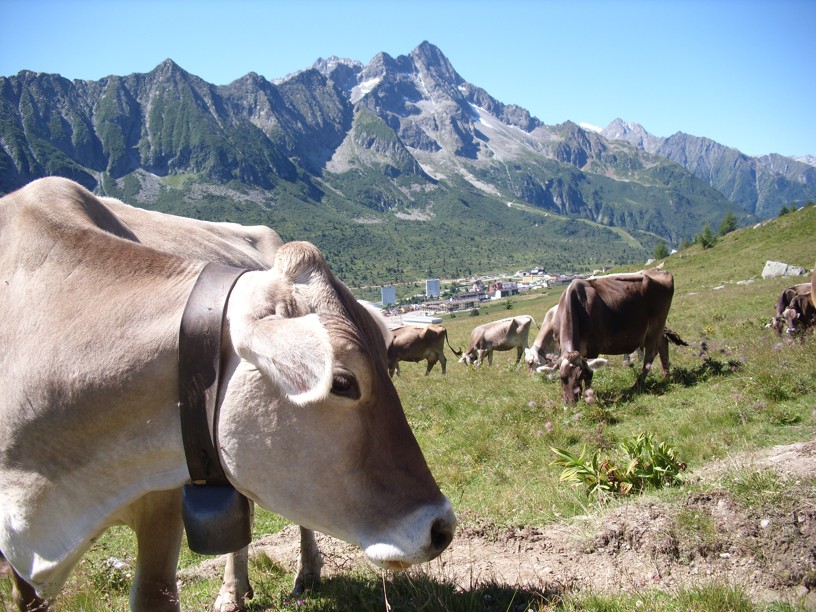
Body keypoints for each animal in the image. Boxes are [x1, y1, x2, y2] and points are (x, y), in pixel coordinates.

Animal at [0, 175, 452, 608]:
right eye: (342, 382)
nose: (442, 526)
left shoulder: (164, 498)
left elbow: (152, 593)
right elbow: (24, 597)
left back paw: (295, 575)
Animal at [540, 270, 680, 404]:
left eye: (579, 376)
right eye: (562, 377)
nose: (570, 405)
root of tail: (659, 271)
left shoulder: (594, 347)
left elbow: (589, 373)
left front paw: (589, 397)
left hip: (655, 327)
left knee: (650, 355)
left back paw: (636, 385)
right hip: (657, 330)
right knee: (663, 343)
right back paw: (666, 375)